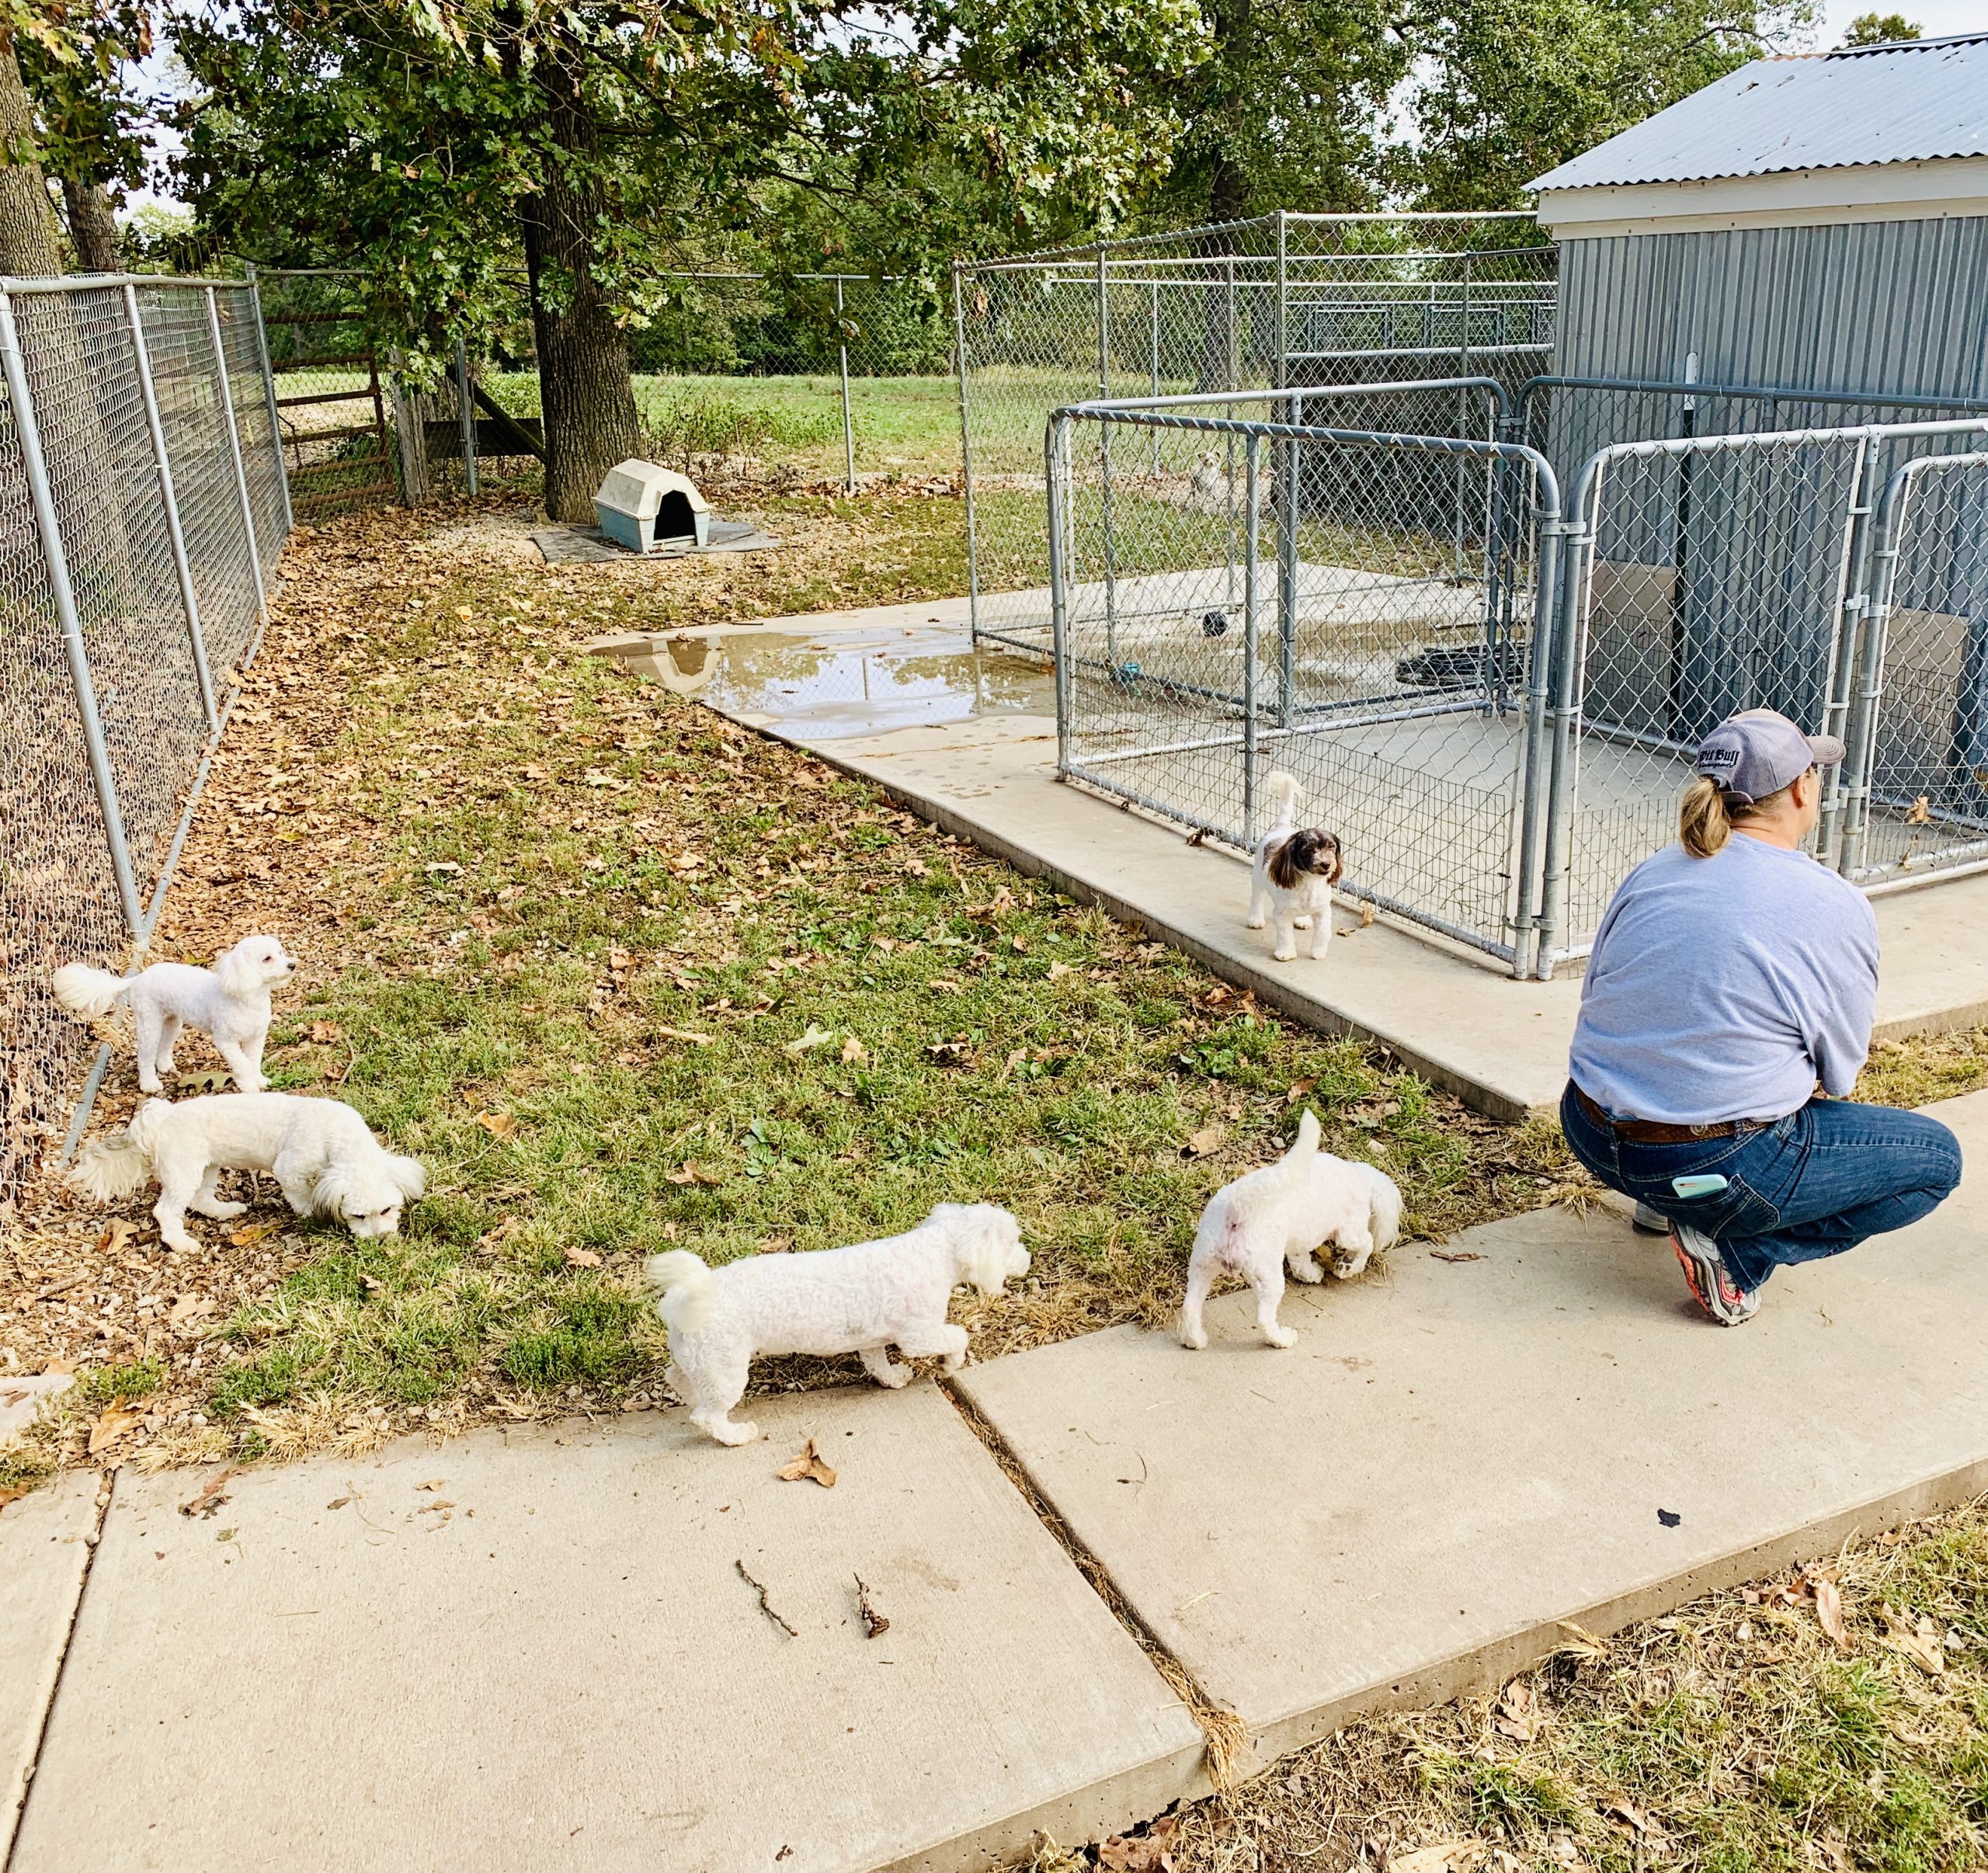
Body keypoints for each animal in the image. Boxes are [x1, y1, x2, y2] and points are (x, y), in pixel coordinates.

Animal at [51, 938, 294, 1097]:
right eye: (267, 959)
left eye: (281, 952)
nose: (292, 965)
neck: (247, 996)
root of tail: (139, 977)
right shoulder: (225, 1041)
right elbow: (243, 1063)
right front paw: (249, 1087)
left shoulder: (256, 1037)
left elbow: (253, 1060)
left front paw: (260, 1080)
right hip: (149, 1020)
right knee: (145, 1055)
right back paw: (150, 1084)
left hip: (172, 1021)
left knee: (164, 1046)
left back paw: (165, 1066)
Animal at [68, 1089, 423, 1256]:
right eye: (358, 1216)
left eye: (387, 1210)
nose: (380, 1240)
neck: (339, 1136)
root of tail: (159, 1118)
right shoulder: (289, 1169)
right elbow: (301, 1197)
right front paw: (310, 1216)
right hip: (184, 1168)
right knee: (166, 1211)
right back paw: (181, 1243)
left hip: (207, 1166)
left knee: (200, 1199)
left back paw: (225, 1211)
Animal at [648, 1201, 1034, 1455]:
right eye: (1012, 1242)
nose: (1028, 1259)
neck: (935, 1253)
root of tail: (685, 1297)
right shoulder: (918, 1333)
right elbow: (956, 1336)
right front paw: (950, 1363)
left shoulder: (873, 1338)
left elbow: (878, 1364)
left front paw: (895, 1379)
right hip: (724, 1366)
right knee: (707, 1416)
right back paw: (736, 1435)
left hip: (699, 1359)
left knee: (678, 1378)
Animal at [1176, 1105, 1399, 1360]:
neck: (1361, 1178)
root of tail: (1237, 1208)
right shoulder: (1349, 1230)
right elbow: (1365, 1244)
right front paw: (1350, 1267)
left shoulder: (1299, 1242)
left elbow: (1301, 1263)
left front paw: (1312, 1274)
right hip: (1266, 1274)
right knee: (1264, 1318)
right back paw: (1282, 1339)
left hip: (1202, 1264)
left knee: (1190, 1306)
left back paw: (1194, 1340)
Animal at [1240, 771, 1351, 962]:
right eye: (1309, 850)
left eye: (1331, 847)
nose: (1326, 863)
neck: (1310, 884)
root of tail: (1281, 826)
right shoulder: (1282, 914)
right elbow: (1285, 935)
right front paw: (1286, 953)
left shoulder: (1323, 911)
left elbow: (1323, 933)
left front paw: (1318, 952)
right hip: (1257, 878)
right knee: (1257, 897)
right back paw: (1255, 919)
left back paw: (1303, 920)